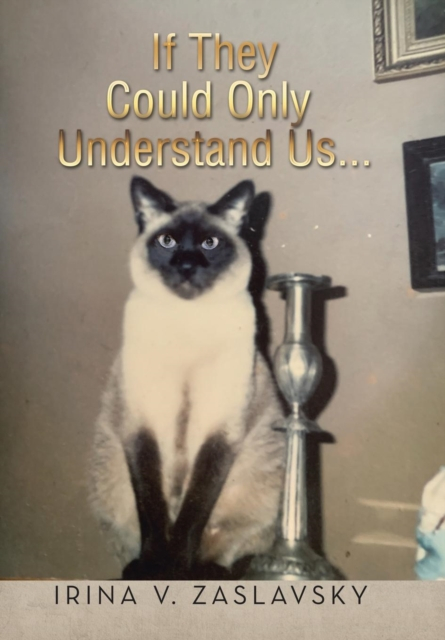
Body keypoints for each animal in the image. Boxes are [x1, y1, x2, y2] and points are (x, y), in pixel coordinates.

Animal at [89, 177, 286, 579]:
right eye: (167, 241)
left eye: (210, 243)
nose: (186, 265)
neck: (186, 323)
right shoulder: (141, 427)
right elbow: (152, 509)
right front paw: (155, 567)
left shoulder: (219, 432)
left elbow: (194, 509)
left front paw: (176, 569)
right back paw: (137, 568)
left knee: (230, 555)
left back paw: (203, 571)